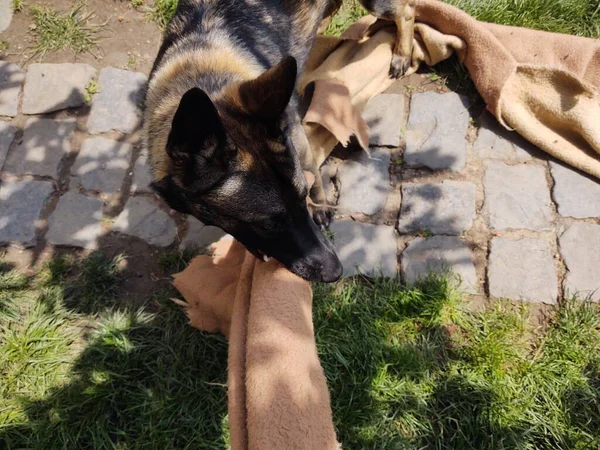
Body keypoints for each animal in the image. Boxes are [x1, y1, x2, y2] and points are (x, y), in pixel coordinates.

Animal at [146, 0, 418, 282]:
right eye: (268, 224)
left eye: (303, 196)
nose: (336, 272)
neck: (202, 69)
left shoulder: (298, 137)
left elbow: (313, 172)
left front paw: (319, 206)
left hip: (377, 6)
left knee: (407, 12)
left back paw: (402, 53)